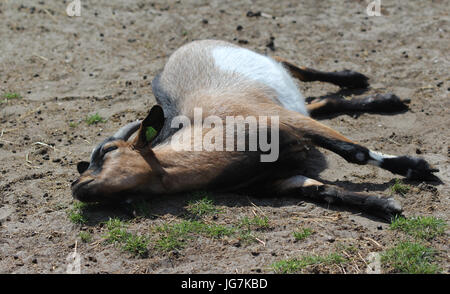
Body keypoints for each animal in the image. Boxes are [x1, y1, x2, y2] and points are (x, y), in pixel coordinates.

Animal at [73, 40, 440, 222]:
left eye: (107, 151)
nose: (76, 185)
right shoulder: (276, 180)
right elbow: (323, 191)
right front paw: (382, 205)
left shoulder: (285, 120)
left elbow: (356, 152)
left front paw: (418, 168)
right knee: (319, 101)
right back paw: (384, 99)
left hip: (268, 74)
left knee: (292, 65)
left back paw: (355, 78)